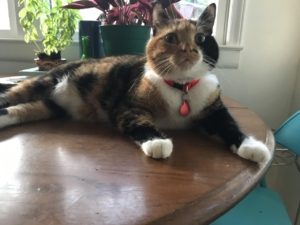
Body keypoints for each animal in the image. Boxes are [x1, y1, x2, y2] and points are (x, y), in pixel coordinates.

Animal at [0, 3, 270, 162]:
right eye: (171, 38)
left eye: (201, 38)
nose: (187, 50)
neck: (180, 89)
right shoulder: (127, 106)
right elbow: (139, 122)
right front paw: (157, 142)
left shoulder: (214, 108)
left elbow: (230, 125)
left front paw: (252, 147)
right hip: (42, 84)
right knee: (10, 98)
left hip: (50, 107)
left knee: (18, 110)